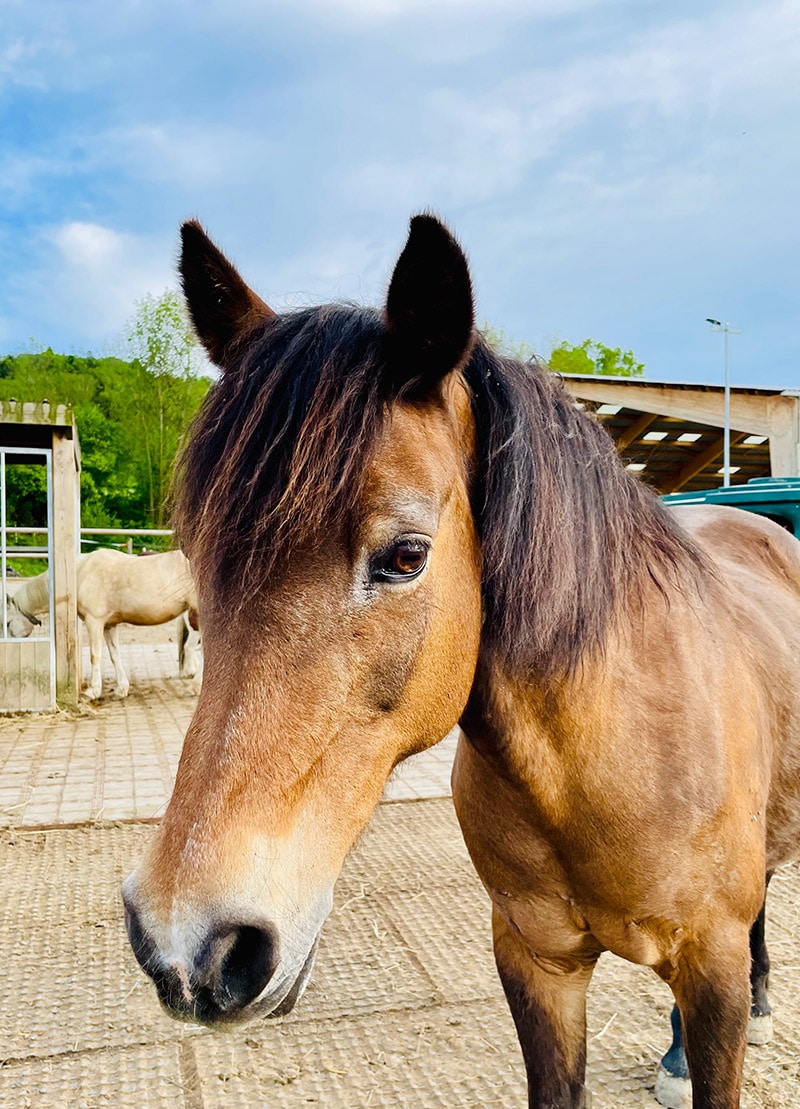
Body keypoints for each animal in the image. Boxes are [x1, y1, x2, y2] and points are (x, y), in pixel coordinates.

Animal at [8, 550, 198, 696]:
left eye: (8, 622)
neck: (81, 572)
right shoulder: (109, 625)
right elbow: (115, 655)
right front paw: (122, 689)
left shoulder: (94, 622)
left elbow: (95, 655)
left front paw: (93, 690)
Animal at [121, 211, 798, 1104]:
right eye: (196, 554)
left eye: (406, 555)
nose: (187, 944)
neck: (605, 758)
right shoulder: (536, 961)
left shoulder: (708, 964)